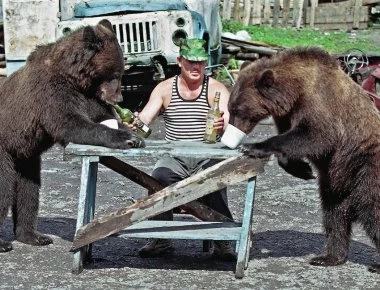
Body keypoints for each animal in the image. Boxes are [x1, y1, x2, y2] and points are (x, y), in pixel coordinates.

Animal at [0, 19, 145, 253]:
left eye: (121, 72)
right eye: (115, 74)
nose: (119, 98)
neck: (75, 78)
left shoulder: (90, 98)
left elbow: (101, 115)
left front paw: (133, 132)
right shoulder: (51, 93)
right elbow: (71, 124)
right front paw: (126, 138)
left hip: (25, 157)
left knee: (29, 190)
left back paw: (34, 236)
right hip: (4, 150)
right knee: (4, 188)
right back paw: (4, 244)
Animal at [227, 46, 380, 274]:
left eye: (238, 109)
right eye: (231, 108)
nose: (228, 135)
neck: (295, 91)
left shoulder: (319, 102)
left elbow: (317, 135)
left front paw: (254, 146)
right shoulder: (286, 114)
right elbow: (293, 141)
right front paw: (302, 169)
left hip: (366, 167)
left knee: (372, 209)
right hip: (336, 182)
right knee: (334, 214)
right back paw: (329, 257)